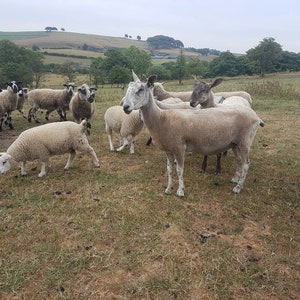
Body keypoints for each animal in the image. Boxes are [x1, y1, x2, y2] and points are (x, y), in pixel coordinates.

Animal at [121, 71, 262, 196]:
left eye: (140, 89)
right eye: (128, 88)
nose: (125, 107)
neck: (162, 118)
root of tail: (256, 117)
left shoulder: (179, 148)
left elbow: (179, 170)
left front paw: (180, 191)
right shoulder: (169, 150)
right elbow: (169, 170)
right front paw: (168, 189)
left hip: (245, 142)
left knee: (246, 164)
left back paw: (238, 188)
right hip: (235, 143)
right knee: (239, 161)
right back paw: (235, 179)